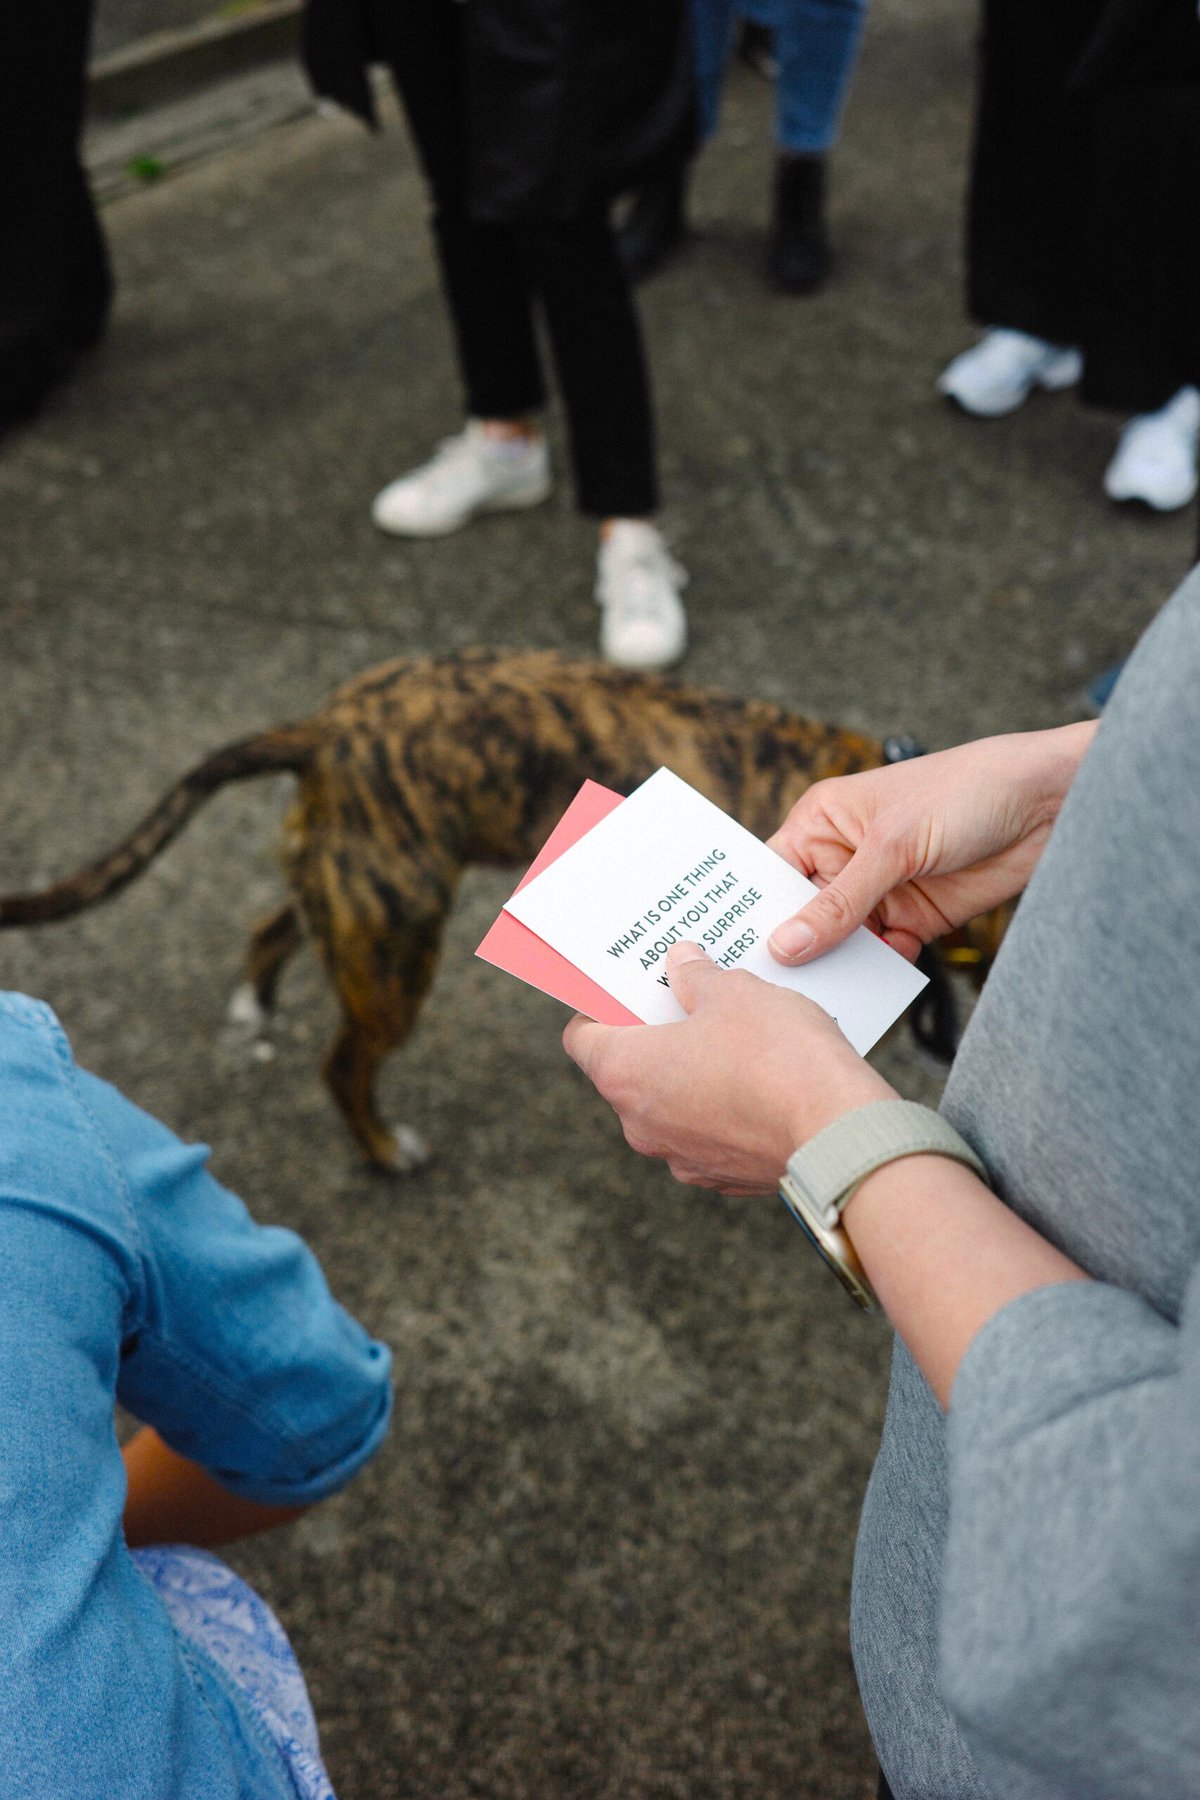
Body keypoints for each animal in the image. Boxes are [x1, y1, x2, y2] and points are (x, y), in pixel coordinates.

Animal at [0, 648, 993, 1166]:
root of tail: (324, 730)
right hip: (397, 950)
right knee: (344, 1066)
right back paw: (386, 1151)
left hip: (352, 897)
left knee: (270, 926)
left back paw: (254, 1009)